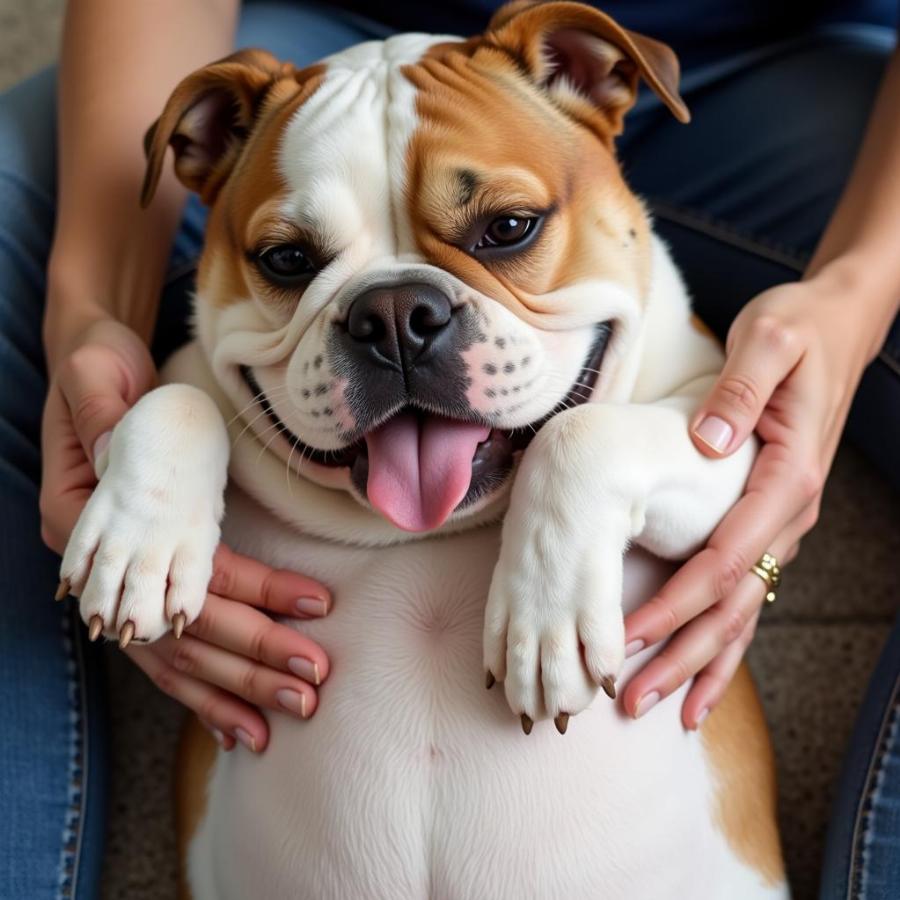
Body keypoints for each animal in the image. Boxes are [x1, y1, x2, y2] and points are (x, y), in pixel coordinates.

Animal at [59, 3, 788, 896]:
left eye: (508, 228)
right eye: (286, 260)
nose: (395, 312)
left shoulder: (727, 434)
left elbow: (583, 432)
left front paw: (543, 623)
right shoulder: (188, 367)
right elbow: (178, 394)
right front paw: (138, 544)